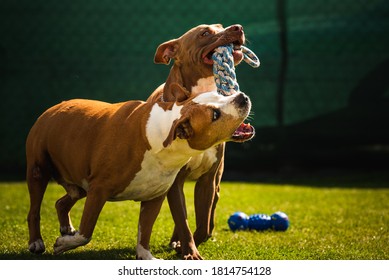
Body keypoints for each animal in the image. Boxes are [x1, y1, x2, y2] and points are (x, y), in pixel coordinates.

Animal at [25, 91, 253, 260]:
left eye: (218, 94)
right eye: (214, 115)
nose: (242, 96)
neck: (163, 137)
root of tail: (53, 108)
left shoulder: (155, 196)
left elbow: (145, 230)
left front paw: (145, 256)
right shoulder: (99, 190)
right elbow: (86, 232)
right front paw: (63, 244)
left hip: (79, 184)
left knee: (63, 201)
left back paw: (66, 228)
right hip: (38, 171)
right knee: (34, 210)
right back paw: (37, 242)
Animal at [147, 23, 247, 258]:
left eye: (221, 26)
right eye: (205, 33)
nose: (238, 27)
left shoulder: (208, 181)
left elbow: (203, 223)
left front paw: (194, 242)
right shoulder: (174, 182)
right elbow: (182, 218)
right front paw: (189, 251)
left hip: (217, 182)